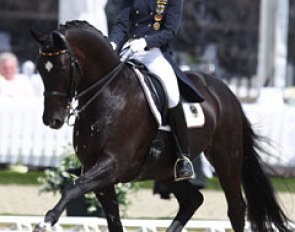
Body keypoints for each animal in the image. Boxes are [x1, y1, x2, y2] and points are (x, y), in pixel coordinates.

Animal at [31, 20, 292, 231]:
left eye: (62, 67)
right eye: (40, 67)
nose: (52, 119)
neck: (110, 94)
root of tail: (225, 91)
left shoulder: (113, 165)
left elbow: (72, 187)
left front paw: (46, 221)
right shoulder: (98, 173)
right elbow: (112, 219)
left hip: (227, 158)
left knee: (236, 208)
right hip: (165, 169)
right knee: (192, 200)